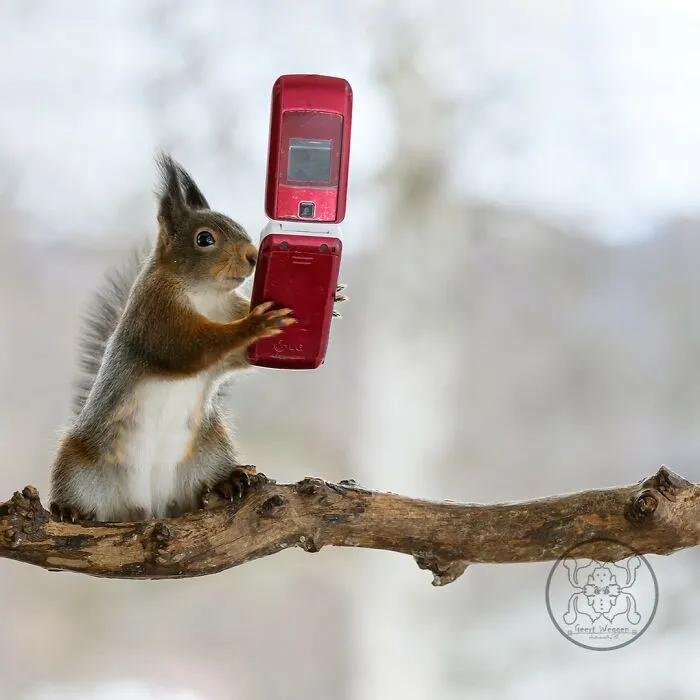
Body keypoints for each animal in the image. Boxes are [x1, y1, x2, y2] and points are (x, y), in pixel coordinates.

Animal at [49, 154, 343, 523]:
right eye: (204, 239)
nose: (253, 256)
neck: (206, 294)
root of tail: (149, 506)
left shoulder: (228, 310)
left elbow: (233, 357)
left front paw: (333, 302)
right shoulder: (156, 315)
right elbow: (189, 349)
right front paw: (255, 324)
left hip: (209, 452)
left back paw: (229, 482)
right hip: (80, 464)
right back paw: (68, 509)